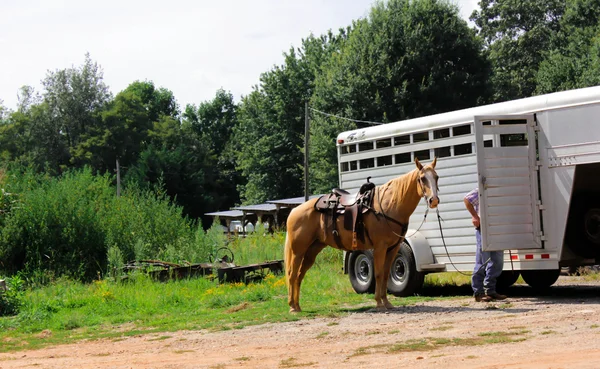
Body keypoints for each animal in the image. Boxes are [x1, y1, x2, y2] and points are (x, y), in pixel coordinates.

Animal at [284, 157, 438, 312]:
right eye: (422, 178)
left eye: (436, 177)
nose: (434, 200)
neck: (388, 206)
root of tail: (294, 210)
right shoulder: (380, 247)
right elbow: (378, 273)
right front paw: (379, 303)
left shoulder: (393, 248)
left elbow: (385, 274)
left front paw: (387, 302)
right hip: (298, 250)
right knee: (292, 274)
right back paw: (292, 307)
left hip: (312, 249)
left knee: (299, 275)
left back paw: (297, 305)